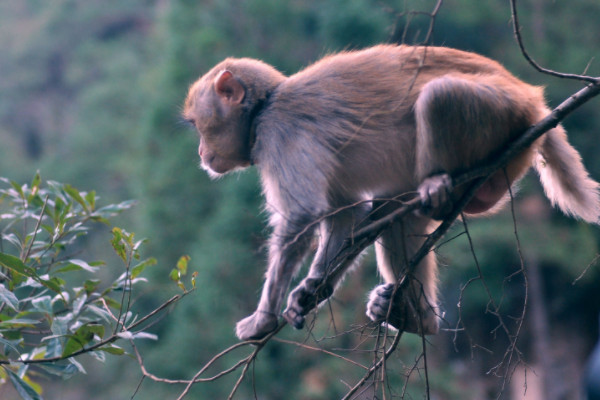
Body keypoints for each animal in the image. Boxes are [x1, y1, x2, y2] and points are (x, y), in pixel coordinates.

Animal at [183, 46, 600, 340]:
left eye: (199, 125)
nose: (200, 153)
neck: (264, 107)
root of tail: (535, 101)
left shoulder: (279, 132)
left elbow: (302, 214)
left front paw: (262, 319)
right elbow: (346, 214)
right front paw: (311, 291)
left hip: (500, 110)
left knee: (439, 95)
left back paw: (437, 185)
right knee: (395, 212)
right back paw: (418, 319)